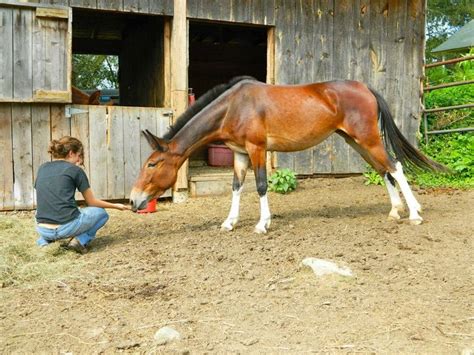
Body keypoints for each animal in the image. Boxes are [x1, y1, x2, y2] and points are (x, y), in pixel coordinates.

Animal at [129, 77, 444, 234]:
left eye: (152, 163)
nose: (134, 201)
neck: (234, 106)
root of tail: (365, 88)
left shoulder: (257, 149)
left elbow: (260, 185)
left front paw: (262, 224)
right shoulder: (239, 154)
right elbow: (236, 187)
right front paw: (229, 223)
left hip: (368, 138)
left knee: (396, 167)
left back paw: (414, 214)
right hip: (357, 142)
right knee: (384, 170)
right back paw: (395, 211)